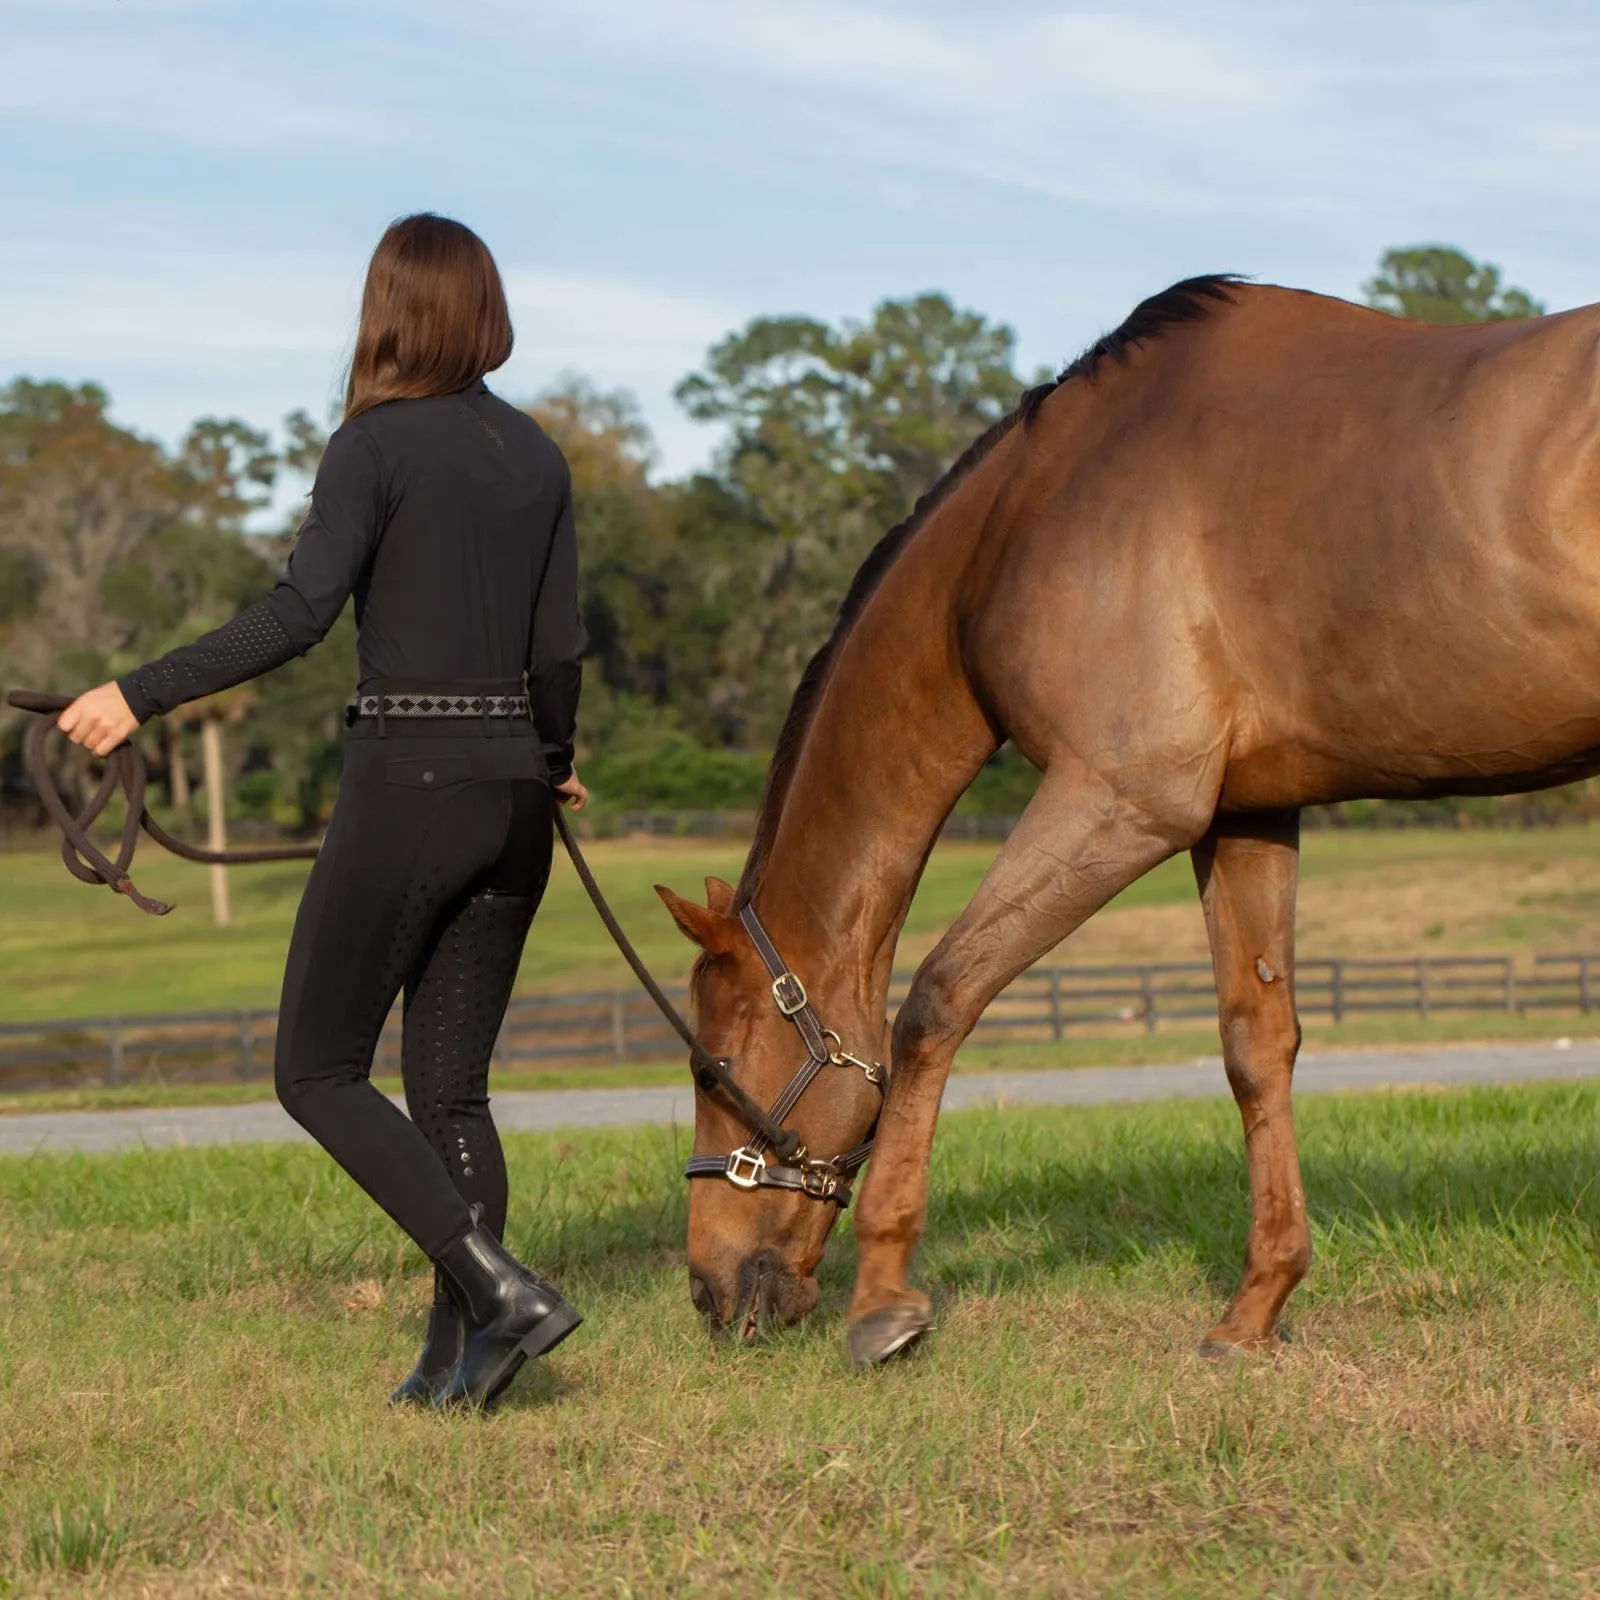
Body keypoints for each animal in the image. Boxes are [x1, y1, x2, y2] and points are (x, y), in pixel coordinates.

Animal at [652, 275, 1600, 1363]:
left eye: (712, 1068)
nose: (709, 1290)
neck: (1033, 511)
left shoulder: (1121, 798)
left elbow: (935, 1002)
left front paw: (885, 1301)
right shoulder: (1245, 813)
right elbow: (1255, 1044)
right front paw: (1254, 1309)